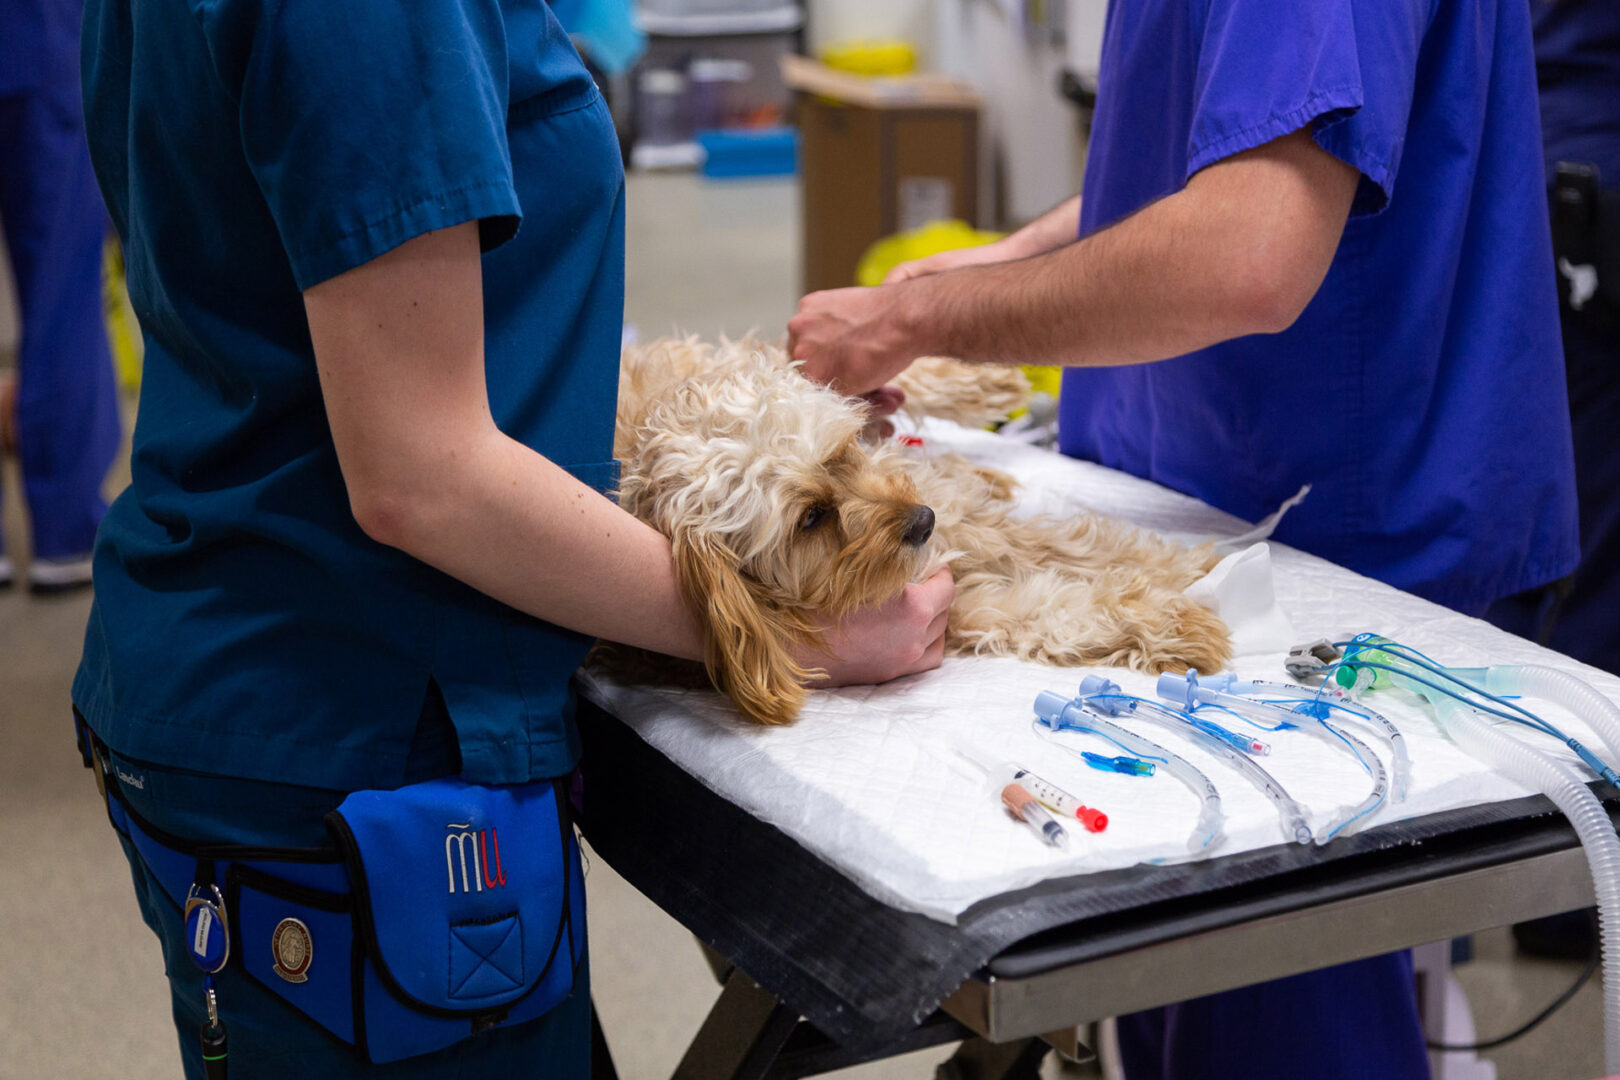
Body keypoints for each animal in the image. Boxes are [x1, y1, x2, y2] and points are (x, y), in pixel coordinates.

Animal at [612, 338, 1231, 725]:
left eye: (842, 453)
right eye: (811, 518)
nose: (923, 521)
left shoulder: (966, 522)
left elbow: (1074, 548)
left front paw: (1190, 573)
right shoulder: (953, 606)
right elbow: (1050, 610)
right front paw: (1175, 620)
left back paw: (984, 385)